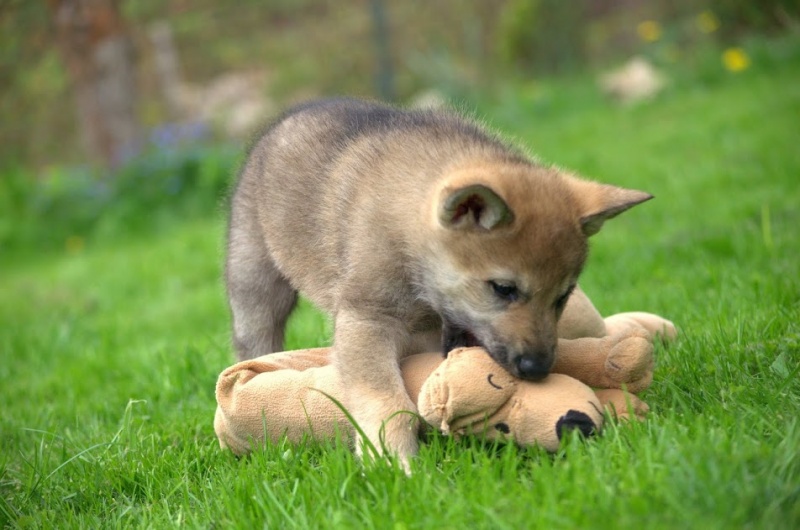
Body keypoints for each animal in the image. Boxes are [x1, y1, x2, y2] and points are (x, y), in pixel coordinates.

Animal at [223, 97, 648, 464]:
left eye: (563, 296)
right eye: (503, 289)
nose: (537, 369)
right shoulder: (367, 318)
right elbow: (385, 399)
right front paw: (392, 462)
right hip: (256, 284)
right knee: (256, 338)